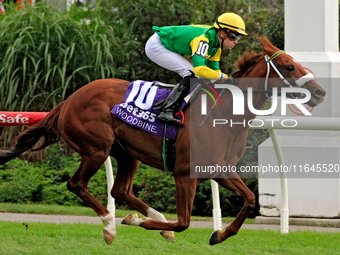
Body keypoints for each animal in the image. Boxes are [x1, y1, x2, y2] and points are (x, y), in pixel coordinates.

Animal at [0, 37, 326, 245]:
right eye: (289, 66)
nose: (320, 92)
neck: (224, 116)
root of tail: (68, 101)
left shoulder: (219, 170)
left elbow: (248, 200)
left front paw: (219, 234)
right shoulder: (184, 173)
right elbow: (184, 222)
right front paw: (140, 224)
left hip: (126, 153)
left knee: (120, 190)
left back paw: (147, 220)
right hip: (96, 148)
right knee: (77, 184)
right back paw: (110, 225)